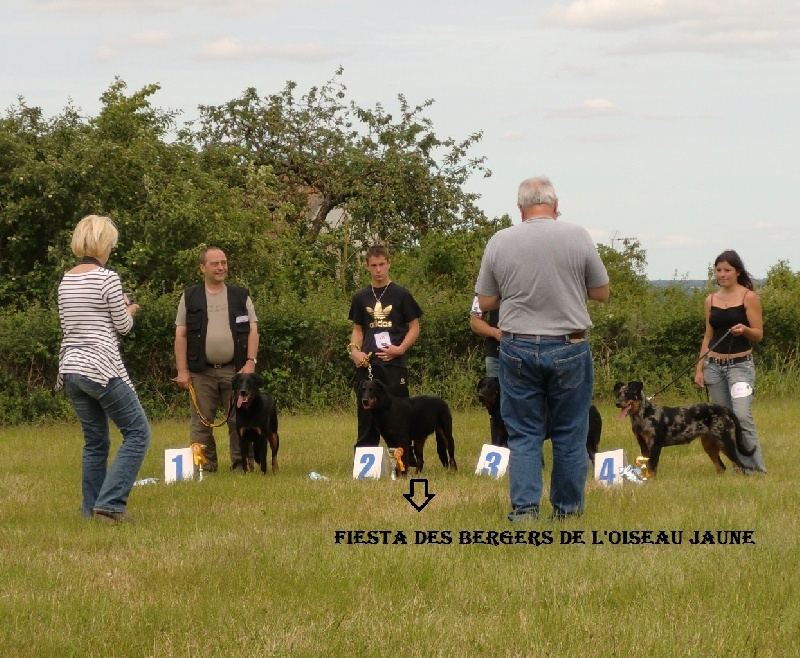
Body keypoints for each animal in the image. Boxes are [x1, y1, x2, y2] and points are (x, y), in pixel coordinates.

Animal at [613, 381, 754, 476]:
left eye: (628, 393)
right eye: (618, 394)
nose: (617, 403)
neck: (645, 415)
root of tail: (725, 409)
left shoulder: (655, 445)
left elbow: (652, 467)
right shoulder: (643, 445)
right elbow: (647, 466)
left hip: (724, 441)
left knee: (740, 466)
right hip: (709, 445)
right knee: (721, 467)